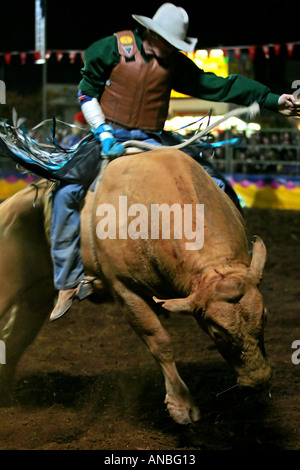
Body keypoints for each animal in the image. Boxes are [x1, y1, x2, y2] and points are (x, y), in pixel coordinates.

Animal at [0, 149, 272, 424]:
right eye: (216, 332)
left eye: (265, 316)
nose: (257, 380)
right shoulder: (124, 290)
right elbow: (159, 341)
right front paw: (181, 405)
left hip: (37, 296)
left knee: (16, 337)